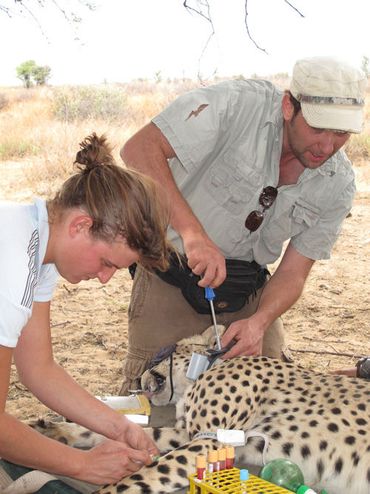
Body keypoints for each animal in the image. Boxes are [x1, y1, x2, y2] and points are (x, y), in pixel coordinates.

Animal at [32, 326, 370, 492]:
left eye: (160, 354)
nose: (140, 377)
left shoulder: (212, 440)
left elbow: (138, 478)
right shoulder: (189, 434)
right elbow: (140, 431)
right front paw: (58, 430)